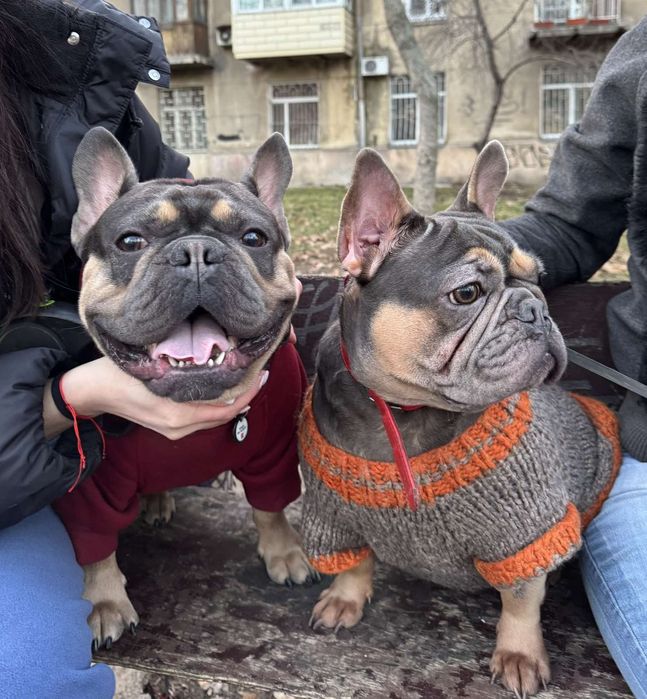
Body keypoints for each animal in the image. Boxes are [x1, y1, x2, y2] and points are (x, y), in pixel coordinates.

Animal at [54, 127, 315, 650]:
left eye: (254, 238)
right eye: (130, 241)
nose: (196, 252)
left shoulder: (273, 453)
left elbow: (271, 506)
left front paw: (284, 552)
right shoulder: (90, 487)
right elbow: (94, 545)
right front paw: (104, 601)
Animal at [298, 142, 620, 696]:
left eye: (538, 279)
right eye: (466, 294)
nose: (535, 309)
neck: (404, 411)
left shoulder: (523, 528)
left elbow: (520, 599)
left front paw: (518, 654)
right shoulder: (332, 514)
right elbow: (354, 562)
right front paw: (345, 598)